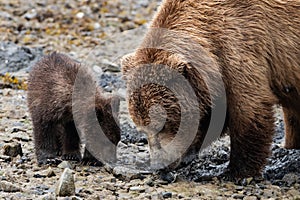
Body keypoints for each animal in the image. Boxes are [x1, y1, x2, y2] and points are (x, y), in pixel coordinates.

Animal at [122, 0, 300, 178]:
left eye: (163, 125)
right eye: (142, 129)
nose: (159, 165)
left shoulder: (241, 48)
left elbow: (248, 111)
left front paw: (235, 171)